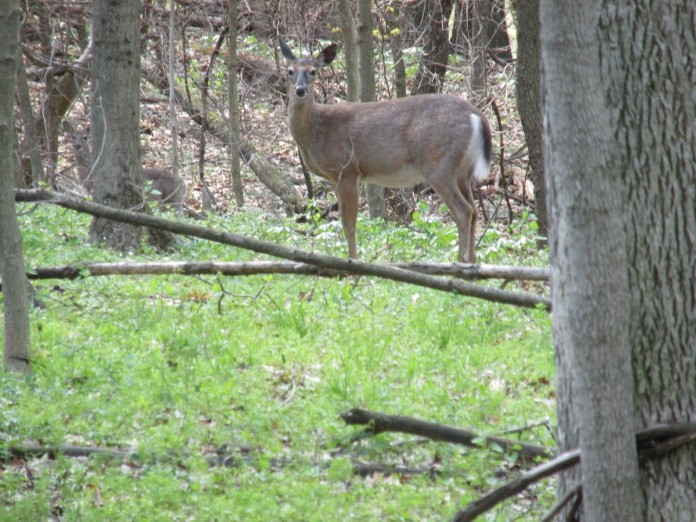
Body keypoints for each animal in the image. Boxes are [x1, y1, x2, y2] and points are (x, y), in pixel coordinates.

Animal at [279, 38, 492, 263]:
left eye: (313, 72)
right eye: (290, 71)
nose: (300, 90)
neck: (316, 132)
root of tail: (477, 116)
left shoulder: (347, 169)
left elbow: (349, 224)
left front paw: (353, 262)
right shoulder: (336, 176)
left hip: (438, 163)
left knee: (464, 211)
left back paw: (460, 262)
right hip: (463, 171)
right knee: (475, 210)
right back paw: (473, 262)